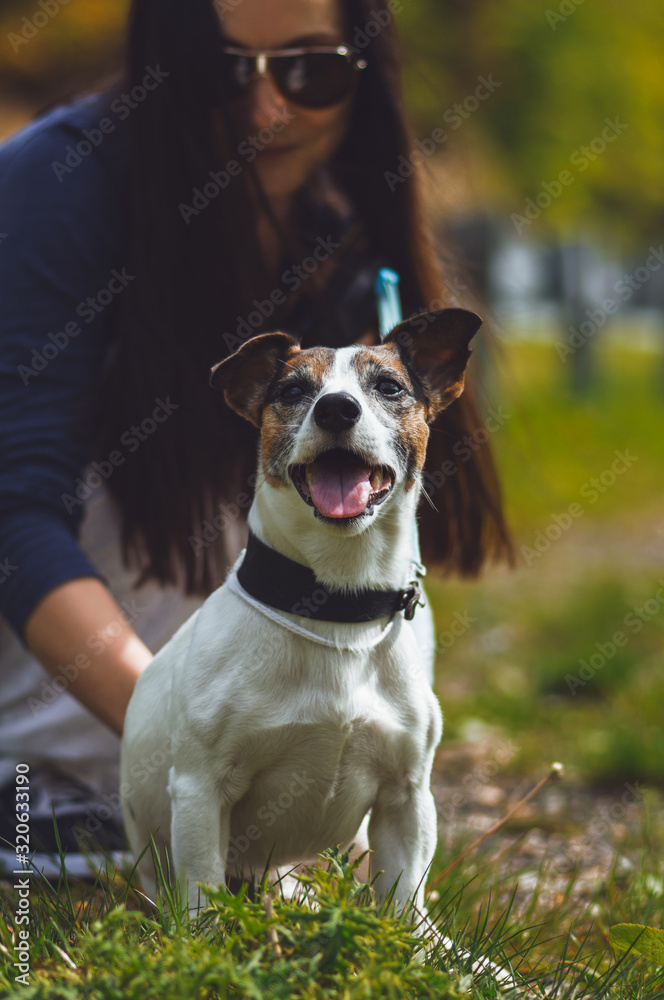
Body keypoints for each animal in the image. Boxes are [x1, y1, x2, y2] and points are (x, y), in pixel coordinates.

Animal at [119, 308, 480, 916]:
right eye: (291, 391)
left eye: (389, 387)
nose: (336, 408)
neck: (335, 607)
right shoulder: (199, 790)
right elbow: (203, 898)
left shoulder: (406, 797)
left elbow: (403, 904)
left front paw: (416, 941)